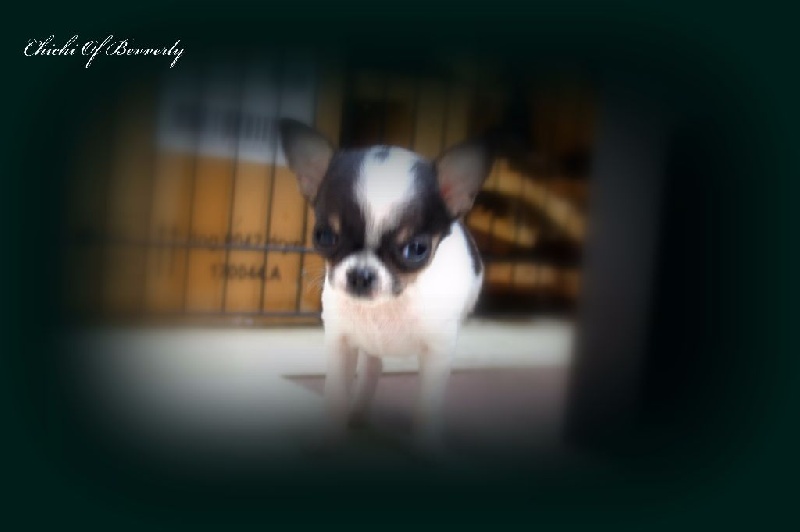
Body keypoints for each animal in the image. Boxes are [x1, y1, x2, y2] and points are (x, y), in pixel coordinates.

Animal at [279, 118, 491, 453]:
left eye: (417, 249)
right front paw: (330, 440)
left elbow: (426, 407)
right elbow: (336, 395)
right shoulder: (340, 343)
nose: (361, 275)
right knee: (371, 369)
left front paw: (426, 448)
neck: (389, 304)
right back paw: (359, 413)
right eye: (324, 236)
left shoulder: (437, 352)